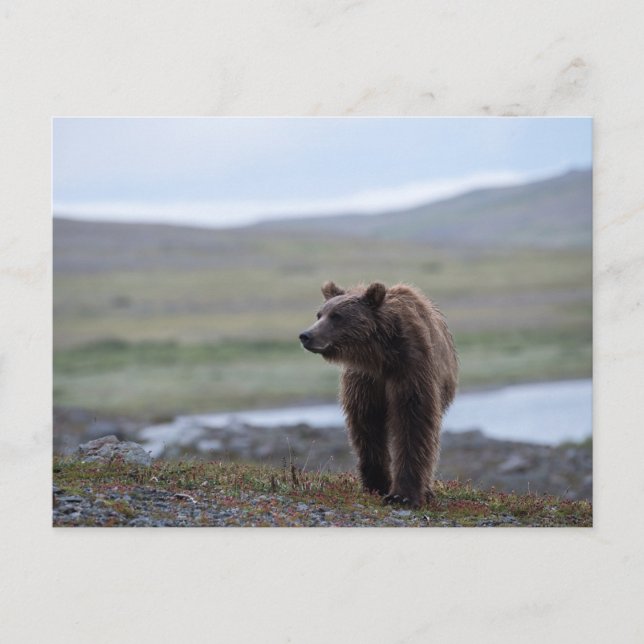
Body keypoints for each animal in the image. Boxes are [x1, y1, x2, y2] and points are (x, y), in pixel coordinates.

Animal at [299, 281, 458, 508]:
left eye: (337, 316)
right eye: (319, 314)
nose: (306, 335)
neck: (379, 356)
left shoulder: (411, 369)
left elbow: (413, 423)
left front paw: (402, 495)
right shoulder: (364, 381)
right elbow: (367, 425)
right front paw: (376, 484)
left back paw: (426, 491)